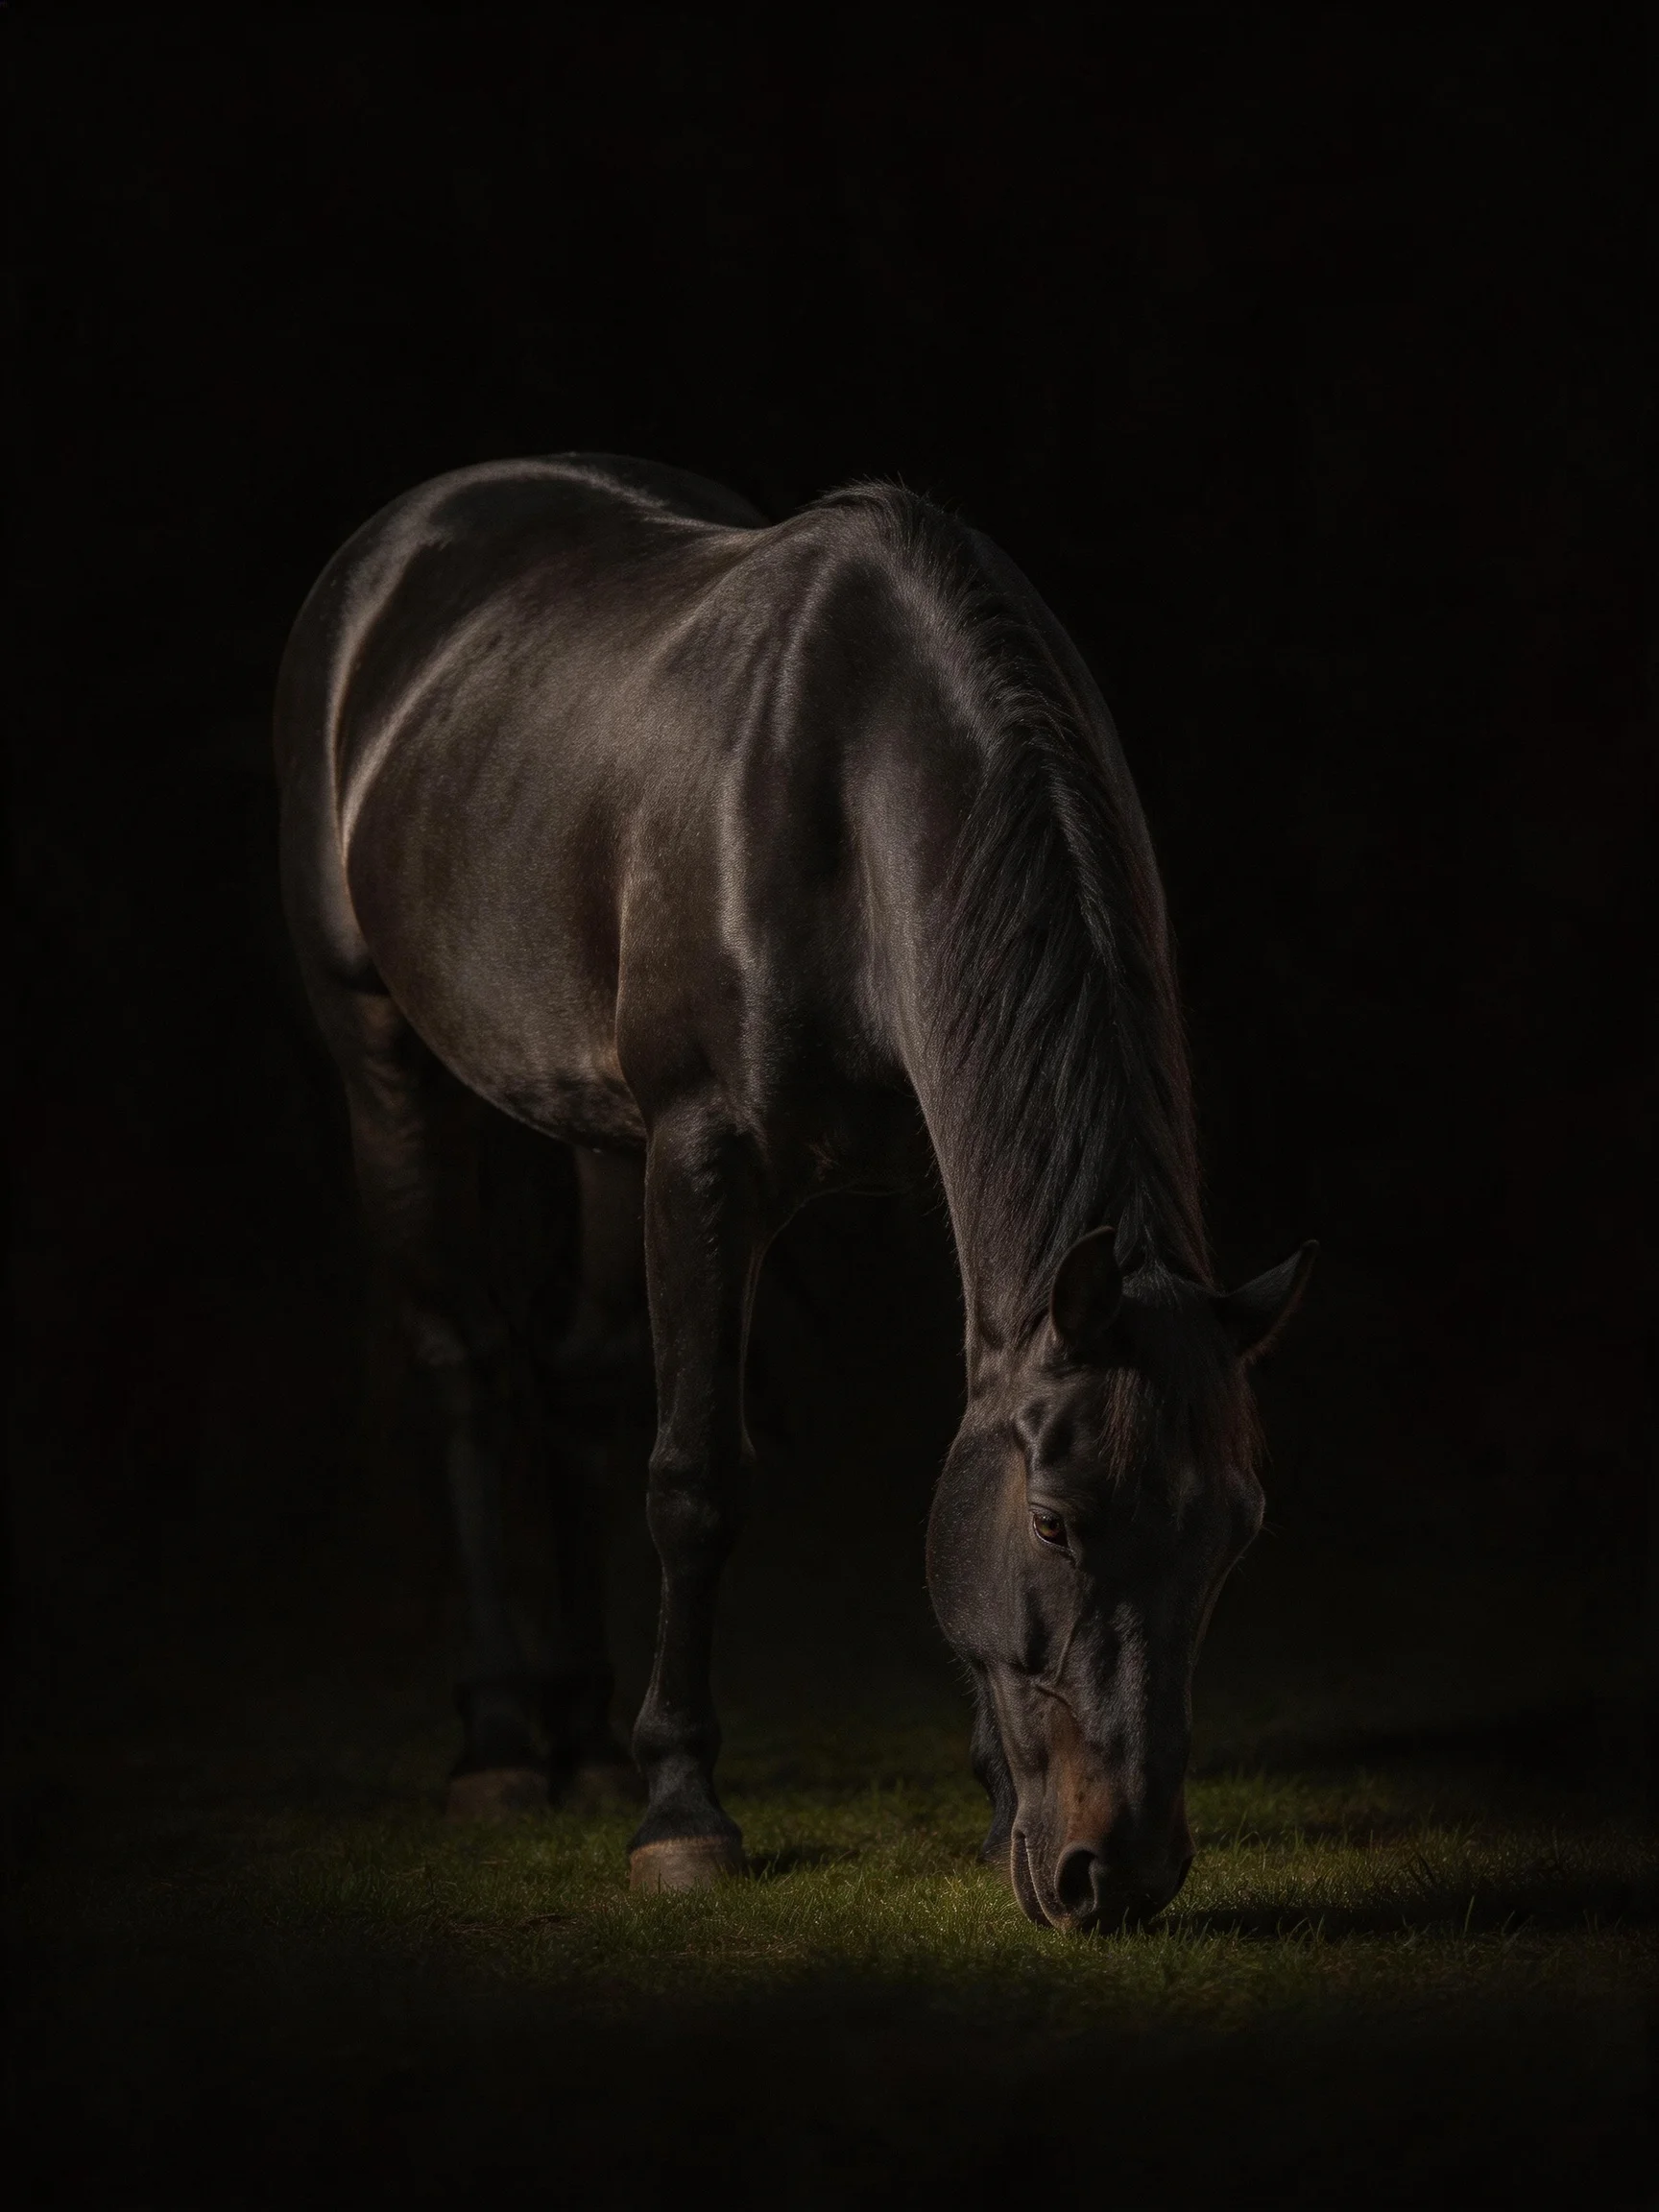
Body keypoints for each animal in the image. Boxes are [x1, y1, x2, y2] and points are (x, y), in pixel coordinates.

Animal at [276, 453, 1314, 1932]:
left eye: (1236, 1534)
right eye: (1056, 1521)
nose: (1117, 1876)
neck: (852, 781)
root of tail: (407, 536)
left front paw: (988, 1804)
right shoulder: (705, 1158)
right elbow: (696, 1476)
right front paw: (681, 1811)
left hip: (605, 1133)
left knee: (579, 1381)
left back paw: (583, 1737)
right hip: (383, 1055)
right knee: (466, 1370)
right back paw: (500, 1742)